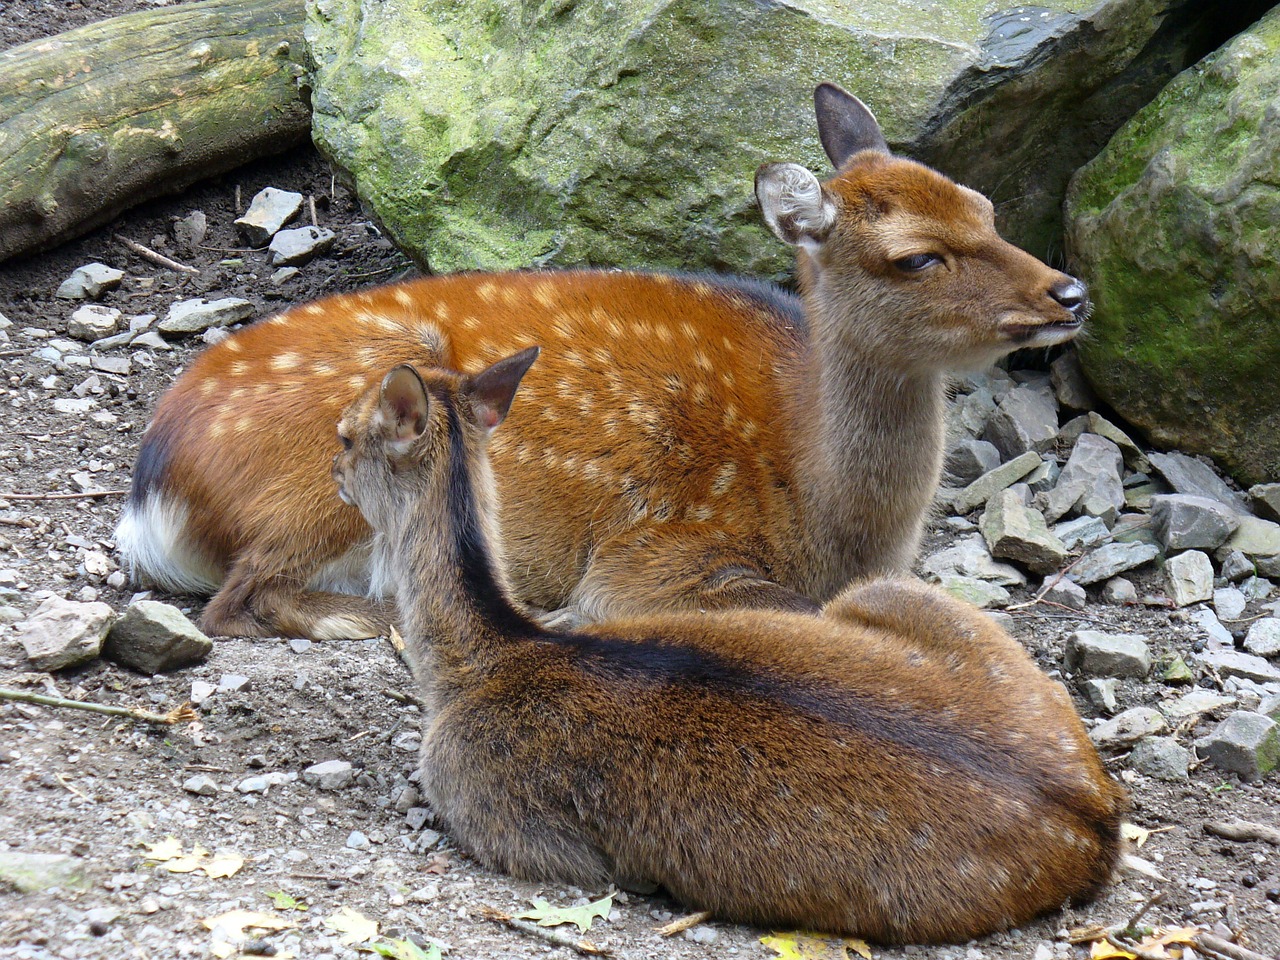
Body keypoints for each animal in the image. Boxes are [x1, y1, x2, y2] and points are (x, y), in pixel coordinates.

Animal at [115, 82, 1085, 640]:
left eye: (985, 205)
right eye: (917, 256)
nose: (1069, 292)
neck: (828, 515)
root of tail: (154, 492)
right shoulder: (657, 552)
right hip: (331, 476)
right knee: (239, 598)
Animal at [330, 353, 1121, 947]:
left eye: (344, 435)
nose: (333, 471)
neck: (478, 660)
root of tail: (1097, 818)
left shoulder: (505, 820)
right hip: (895, 596)